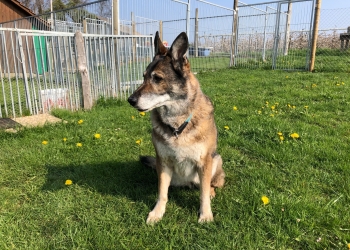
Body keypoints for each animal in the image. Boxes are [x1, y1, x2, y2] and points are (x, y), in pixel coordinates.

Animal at [128, 30, 224, 224]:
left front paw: (205, 214)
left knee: (209, 184)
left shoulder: (204, 162)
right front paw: (157, 212)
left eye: (157, 78)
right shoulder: (163, 162)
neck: (178, 125)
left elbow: (203, 193)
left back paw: (211, 190)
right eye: (143, 76)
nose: (130, 100)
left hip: (216, 160)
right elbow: (162, 193)